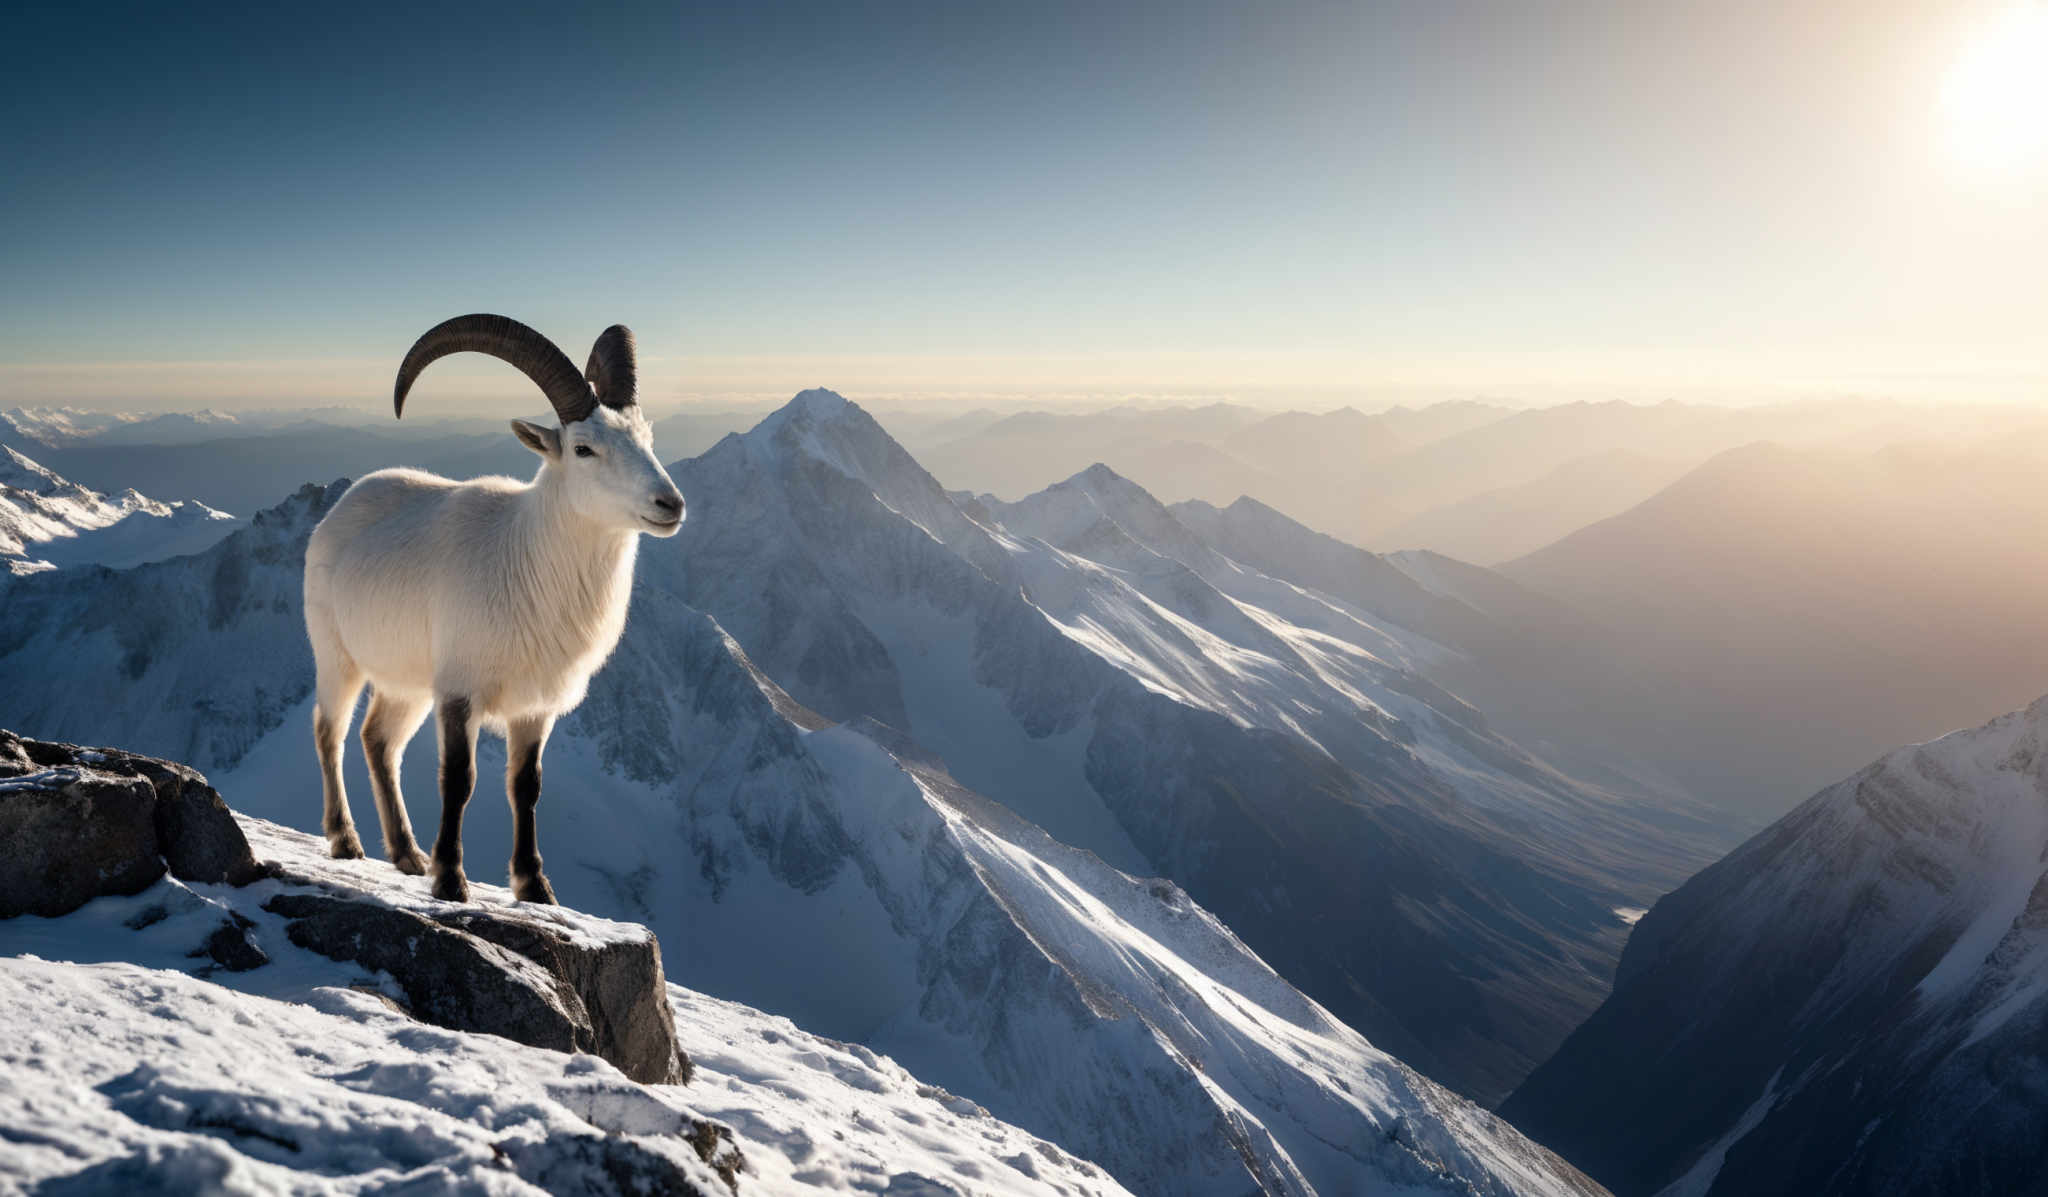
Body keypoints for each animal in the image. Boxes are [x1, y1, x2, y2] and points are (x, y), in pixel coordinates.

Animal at [303, 313, 684, 901]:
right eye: (584, 449)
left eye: (646, 436)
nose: (670, 504)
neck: (527, 564)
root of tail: (342, 508)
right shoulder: (461, 693)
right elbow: (460, 780)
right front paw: (450, 880)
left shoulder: (534, 710)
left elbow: (525, 786)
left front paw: (533, 886)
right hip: (337, 658)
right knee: (331, 732)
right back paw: (346, 840)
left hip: (409, 686)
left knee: (378, 741)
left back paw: (407, 853)